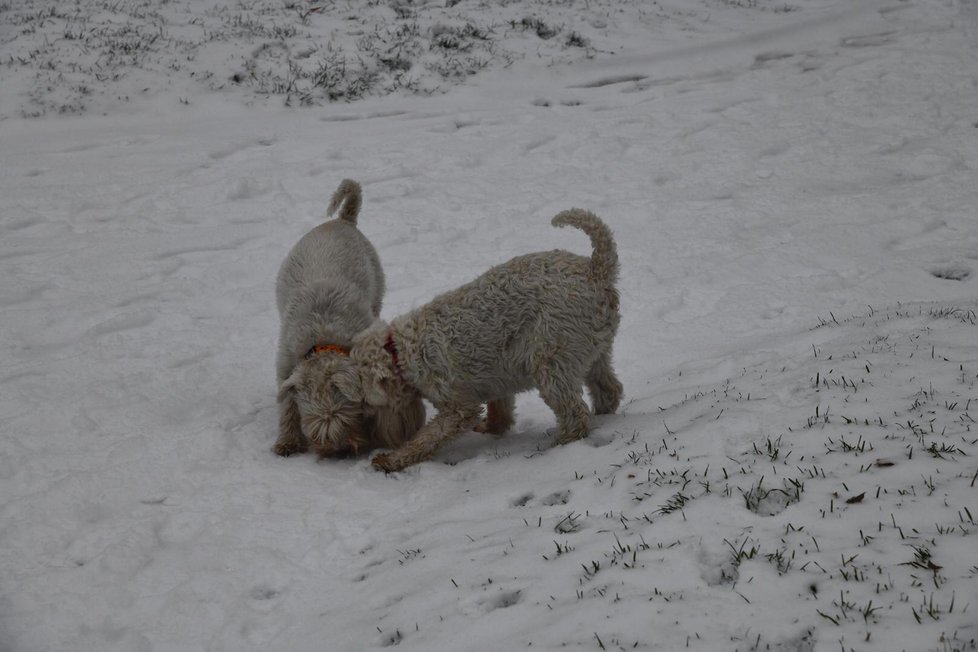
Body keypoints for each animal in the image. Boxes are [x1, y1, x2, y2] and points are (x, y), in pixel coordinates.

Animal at [336, 211, 624, 472]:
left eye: (366, 404)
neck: (399, 352)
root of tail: (596, 271)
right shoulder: (497, 374)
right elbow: (500, 408)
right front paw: (492, 427)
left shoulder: (457, 405)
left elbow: (429, 436)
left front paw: (392, 459)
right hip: (594, 352)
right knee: (609, 389)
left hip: (552, 360)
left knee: (575, 414)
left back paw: (562, 441)